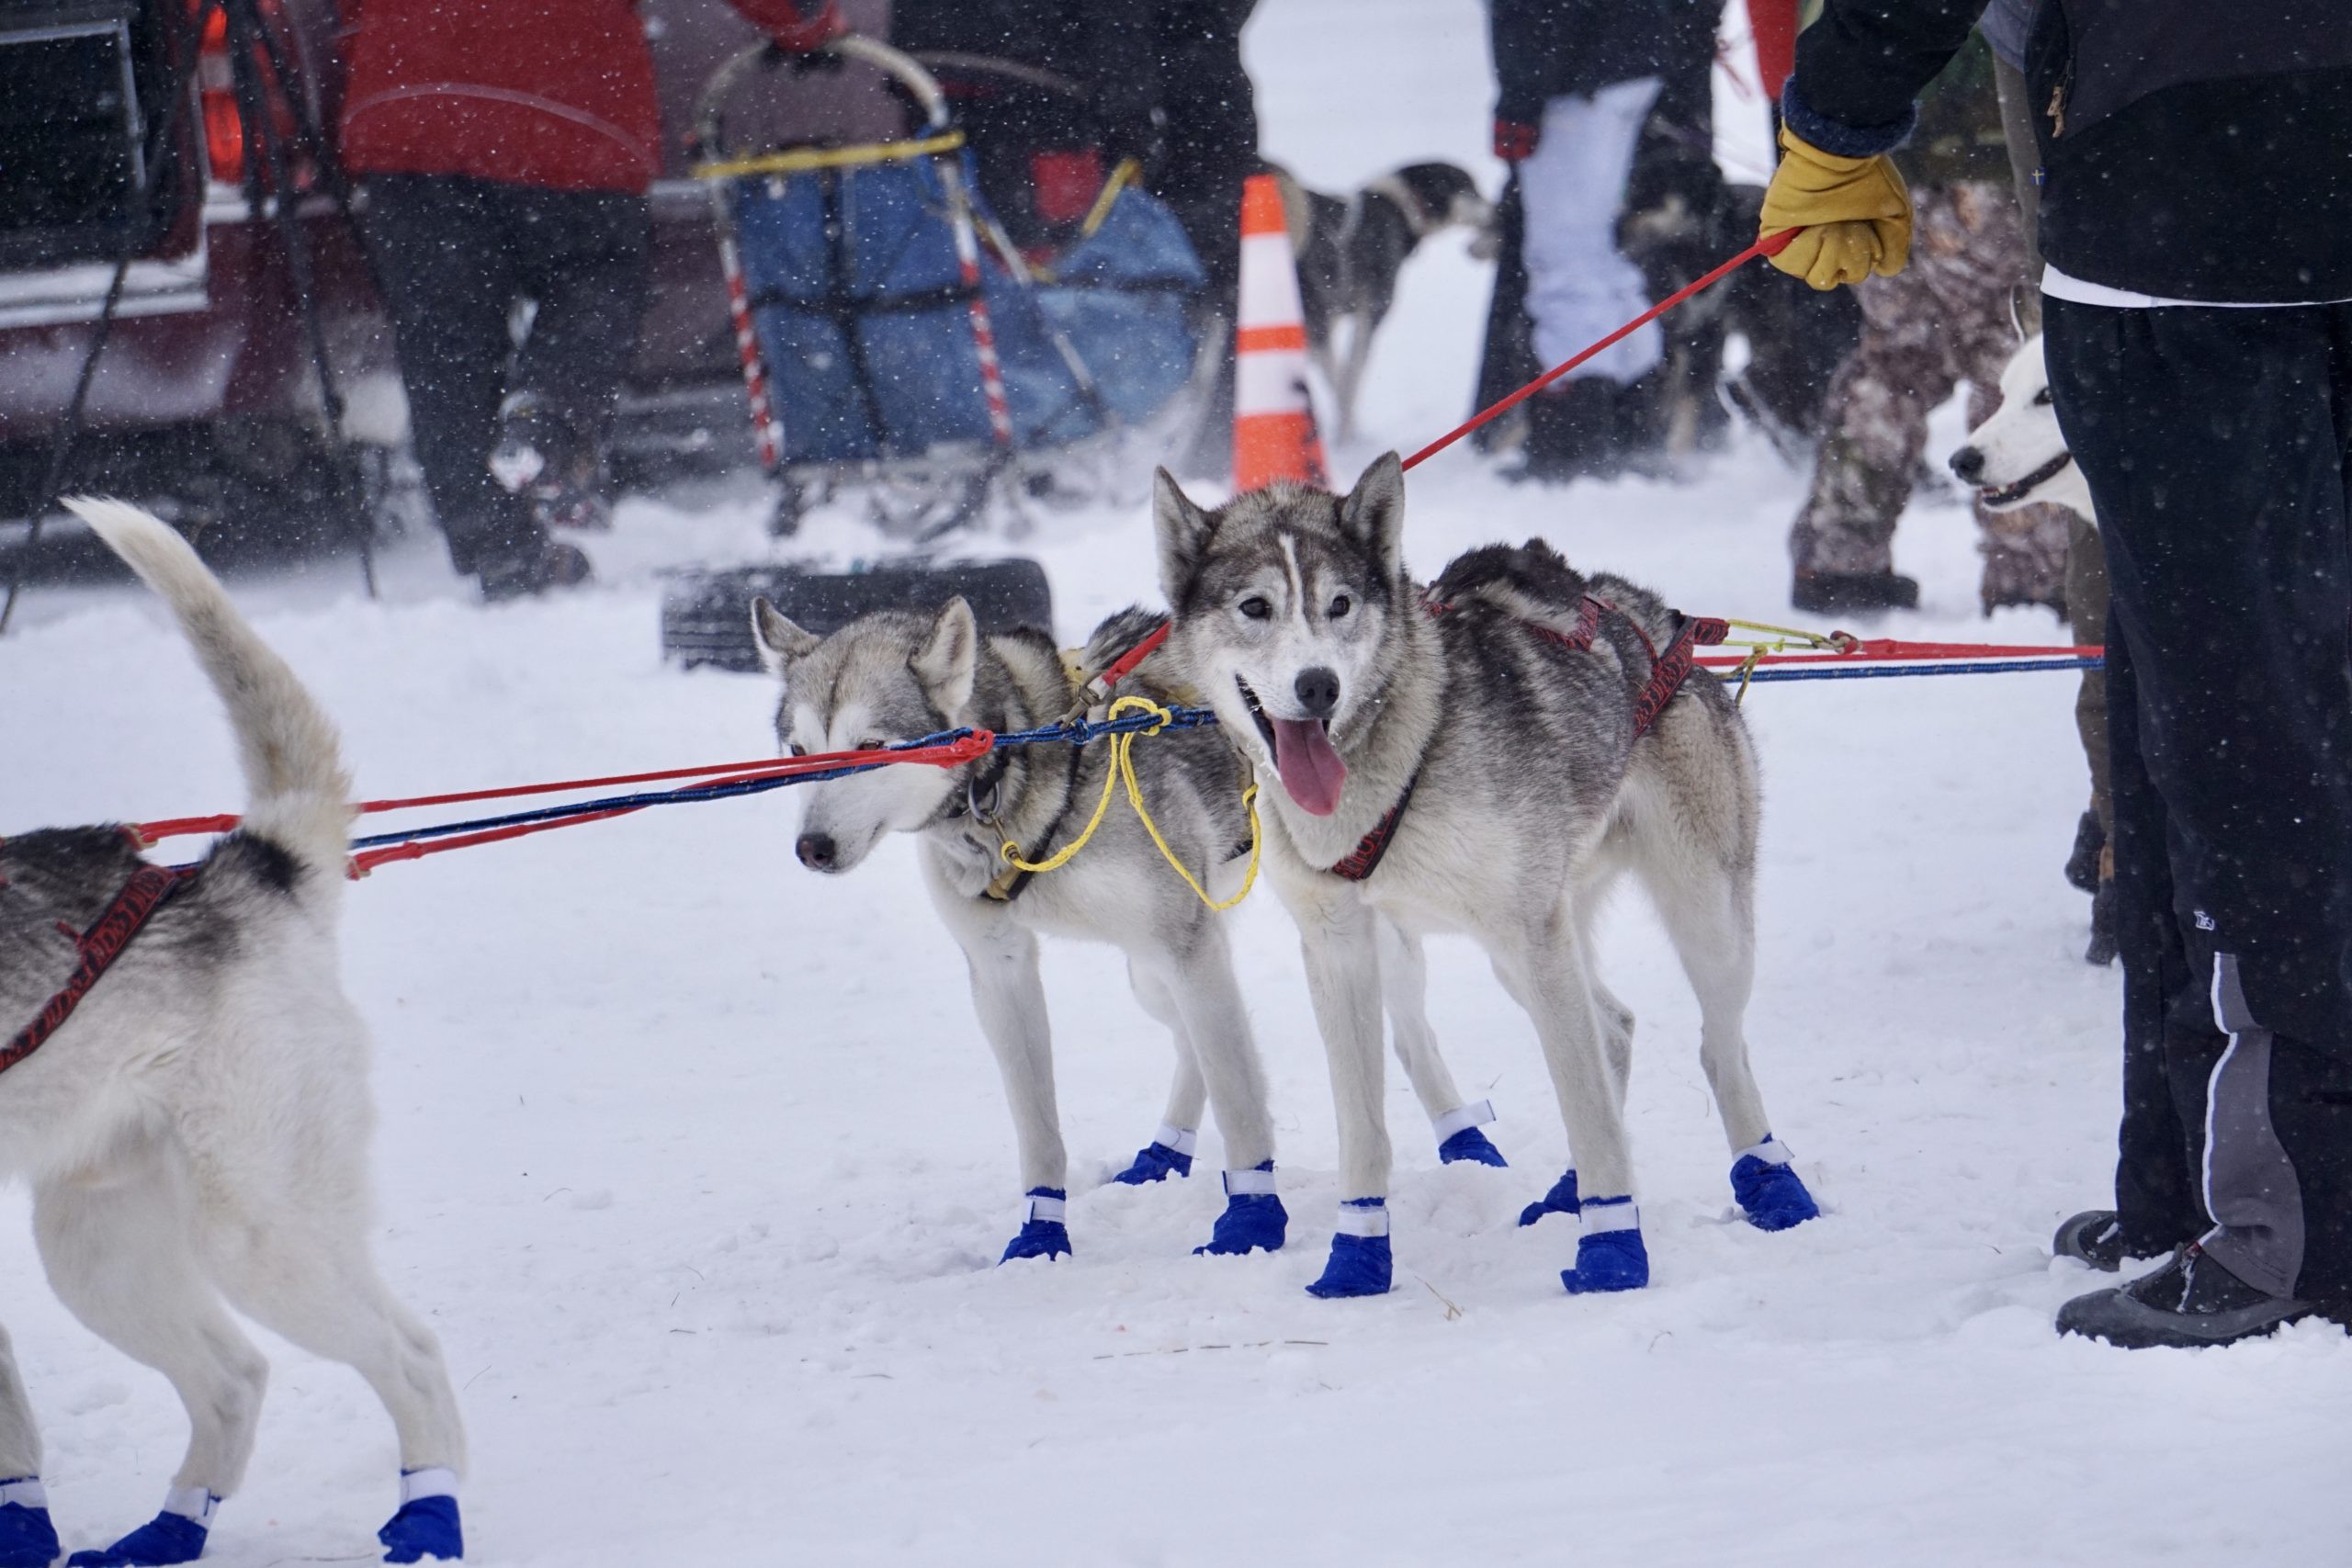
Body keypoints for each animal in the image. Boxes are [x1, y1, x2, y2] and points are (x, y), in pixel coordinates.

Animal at [0, 502, 463, 1568]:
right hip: (95, 1249)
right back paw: (169, 1527)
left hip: (255, 1235)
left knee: (411, 1356)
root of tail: (250, 864)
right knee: (233, 1378)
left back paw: (432, 1513)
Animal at [762, 594, 1514, 1269]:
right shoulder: (1004, 969)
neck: (1021, 772)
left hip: (1321, 936)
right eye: (798, 751)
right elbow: (1040, 1129)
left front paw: (1252, 1221)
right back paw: (1165, 1148)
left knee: (1405, 1031)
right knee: (1194, 1041)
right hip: (1152, 970)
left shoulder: (1186, 943)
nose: (811, 847)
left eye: (870, 748)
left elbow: (1241, 1104)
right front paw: (1041, 1234)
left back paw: (1464, 1139)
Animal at [1148, 453, 1825, 1297]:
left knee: (1718, 1049)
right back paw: (1570, 1189)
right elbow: (1362, 1126)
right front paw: (1356, 1257)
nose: (1317, 685)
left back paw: (1771, 1183)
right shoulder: (1341, 949)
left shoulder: (1534, 936)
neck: (1400, 753)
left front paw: (1612, 1251)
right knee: (1614, 1027)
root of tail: (1658, 618)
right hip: (1530, 943)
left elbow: (1587, 1107)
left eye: (1339, 604)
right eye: (1255, 607)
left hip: (1697, 917)